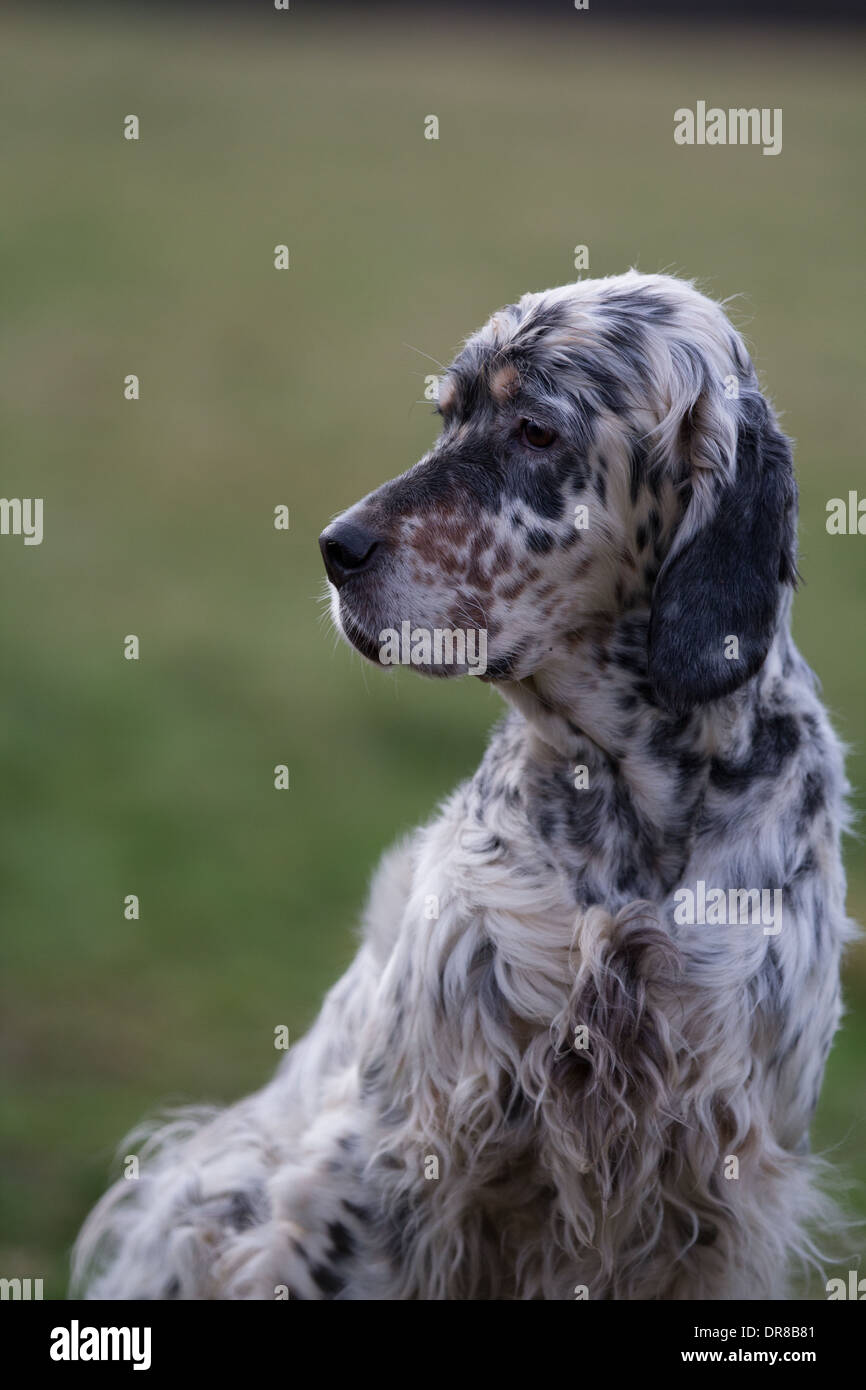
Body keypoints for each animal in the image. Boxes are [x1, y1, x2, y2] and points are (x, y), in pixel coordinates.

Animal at [74, 273, 856, 1301]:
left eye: (534, 431)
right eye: (447, 417)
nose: (334, 549)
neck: (631, 818)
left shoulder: (719, 1194)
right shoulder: (386, 1171)